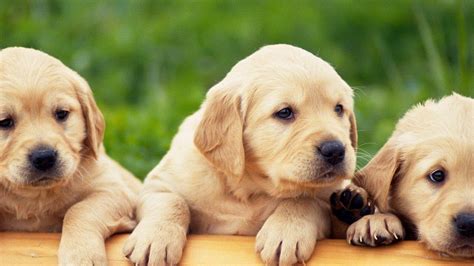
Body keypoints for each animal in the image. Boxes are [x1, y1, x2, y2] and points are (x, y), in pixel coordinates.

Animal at [0, 47, 142, 264]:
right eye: (5, 122)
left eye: (61, 113)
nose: (44, 157)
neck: (36, 196)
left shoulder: (115, 191)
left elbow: (79, 210)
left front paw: (82, 255)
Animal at [124, 44, 358, 264]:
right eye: (284, 112)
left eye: (339, 109)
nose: (335, 150)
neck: (250, 188)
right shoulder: (159, 183)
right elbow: (172, 201)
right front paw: (155, 240)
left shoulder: (328, 196)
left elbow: (305, 200)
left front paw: (286, 232)